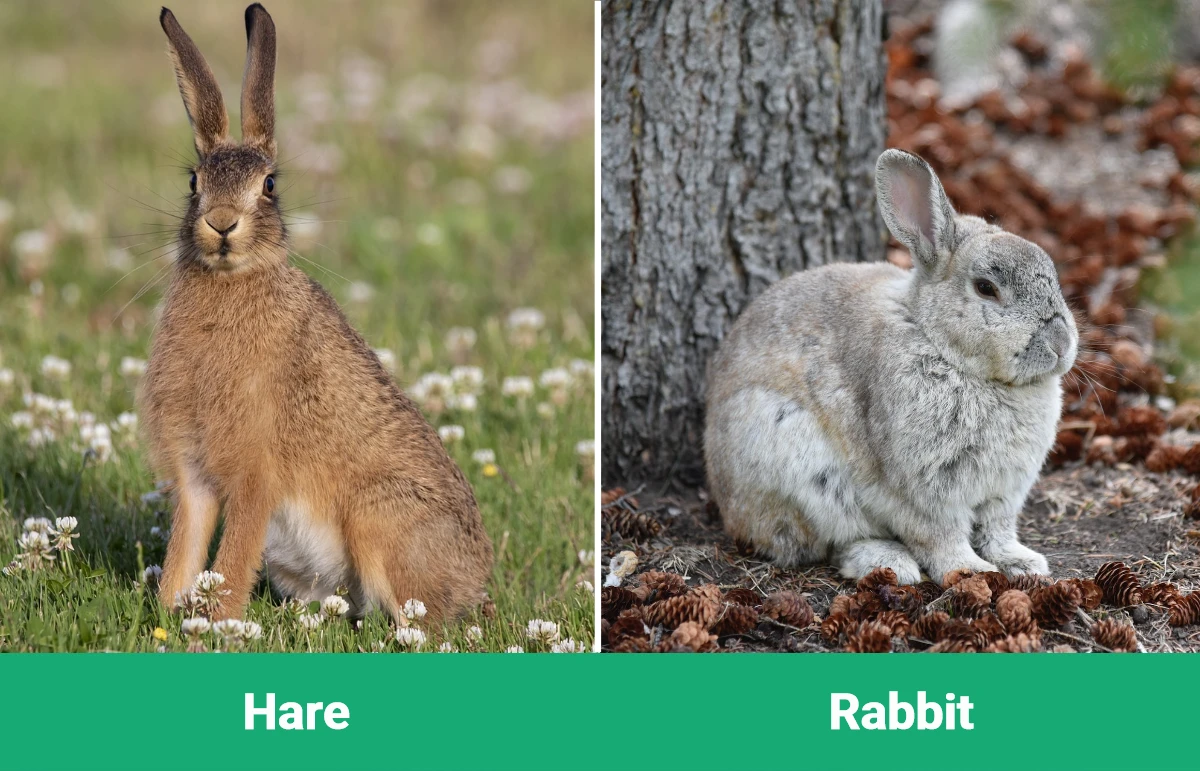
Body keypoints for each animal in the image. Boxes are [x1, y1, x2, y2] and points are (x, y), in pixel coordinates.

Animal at [139, 5, 492, 622]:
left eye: (269, 185)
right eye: (193, 182)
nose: (222, 223)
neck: (234, 283)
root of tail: (477, 581)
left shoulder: (255, 472)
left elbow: (233, 557)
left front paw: (217, 623)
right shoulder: (195, 474)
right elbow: (186, 544)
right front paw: (169, 612)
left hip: (382, 516)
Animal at [704, 149, 1075, 586]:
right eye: (986, 288)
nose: (1061, 344)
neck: (942, 345)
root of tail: (730, 510)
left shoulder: (1003, 494)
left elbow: (997, 530)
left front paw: (1022, 563)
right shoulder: (923, 490)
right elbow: (941, 536)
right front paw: (972, 572)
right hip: (798, 467)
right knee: (832, 541)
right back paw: (891, 563)